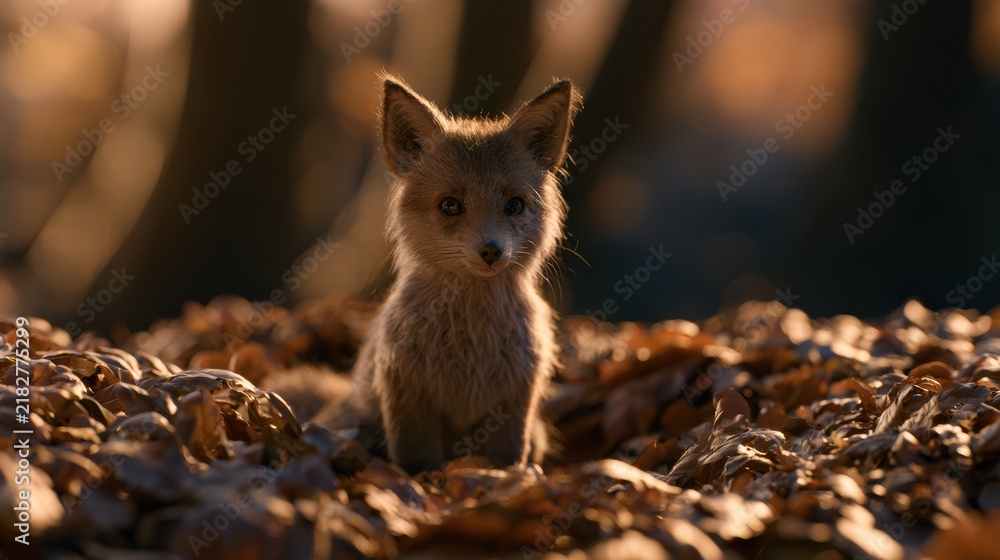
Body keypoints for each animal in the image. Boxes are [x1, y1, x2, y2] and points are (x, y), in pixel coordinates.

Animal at [270, 74, 581, 475]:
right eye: (450, 205)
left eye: (515, 205)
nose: (491, 251)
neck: (470, 344)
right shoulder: (408, 398)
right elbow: (417, 463)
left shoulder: (514, 405)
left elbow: (504, 461)